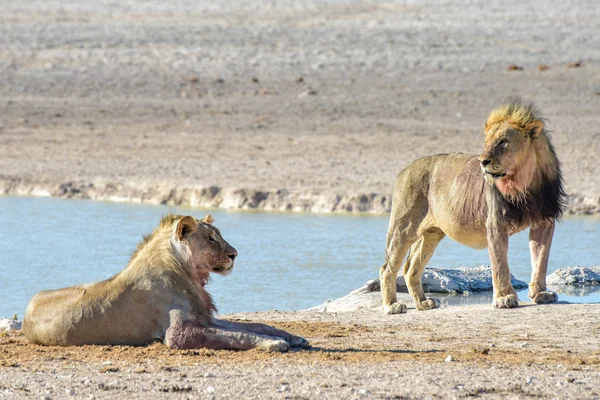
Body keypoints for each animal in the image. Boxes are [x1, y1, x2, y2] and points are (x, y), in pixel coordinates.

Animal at [22, 214, 310, 352]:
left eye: (219, 235)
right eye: (210, 238)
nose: (235, 254)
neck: (189, 273)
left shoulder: (205, 318)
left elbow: (255, 326)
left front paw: (292, 337)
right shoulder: (177, 333)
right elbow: (236, 335)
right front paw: (273, 344)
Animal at [380, 99, 568, 312]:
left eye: (503, 141)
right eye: (486, 143)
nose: (483, 161)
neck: (524, 183)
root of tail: (405, 169)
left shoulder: (544, 222)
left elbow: (540, 259)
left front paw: (540, 294)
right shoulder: (495, 223)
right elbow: (500, 264)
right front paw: (505, 298)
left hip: (431, 234)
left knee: (411, 268)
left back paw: (423, 303)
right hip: (403, 228)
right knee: (387, 268)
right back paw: (392, 306)